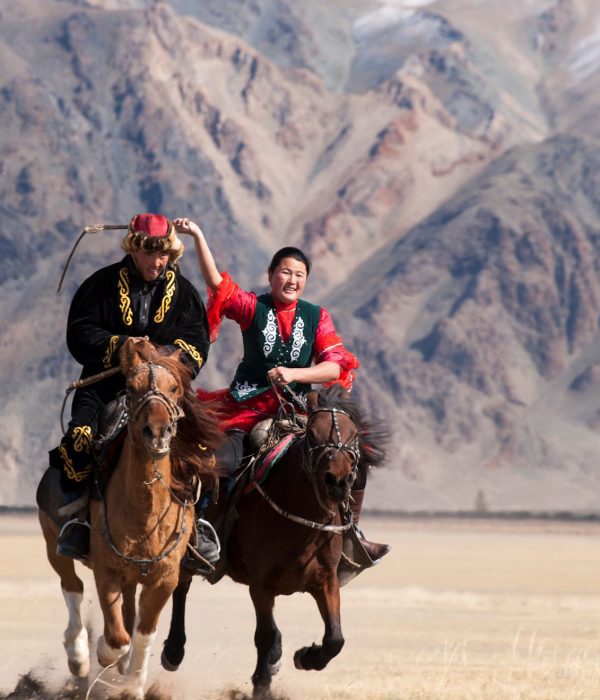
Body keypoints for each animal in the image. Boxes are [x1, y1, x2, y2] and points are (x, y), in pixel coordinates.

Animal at [38, 338, 224, 696]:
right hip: (53, 541)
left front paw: (133, 685)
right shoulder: (107, 571)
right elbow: (116, 637)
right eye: (132, 388)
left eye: (174, 388)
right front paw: (104, 656)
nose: (158, 432)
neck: (145, 513)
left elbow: (142, 634)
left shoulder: (164, 579)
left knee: (125, 610)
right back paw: (79, 657)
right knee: (72, 586)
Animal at [161, 386, 384, 696]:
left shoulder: (326, 580)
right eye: (312, 434)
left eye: (353, 436)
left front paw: (306, 657)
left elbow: (335, 638)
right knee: (181, 586)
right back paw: (173, 651)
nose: (337, 482)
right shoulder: (261, 584)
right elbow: (264, 635)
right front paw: (261, 684)